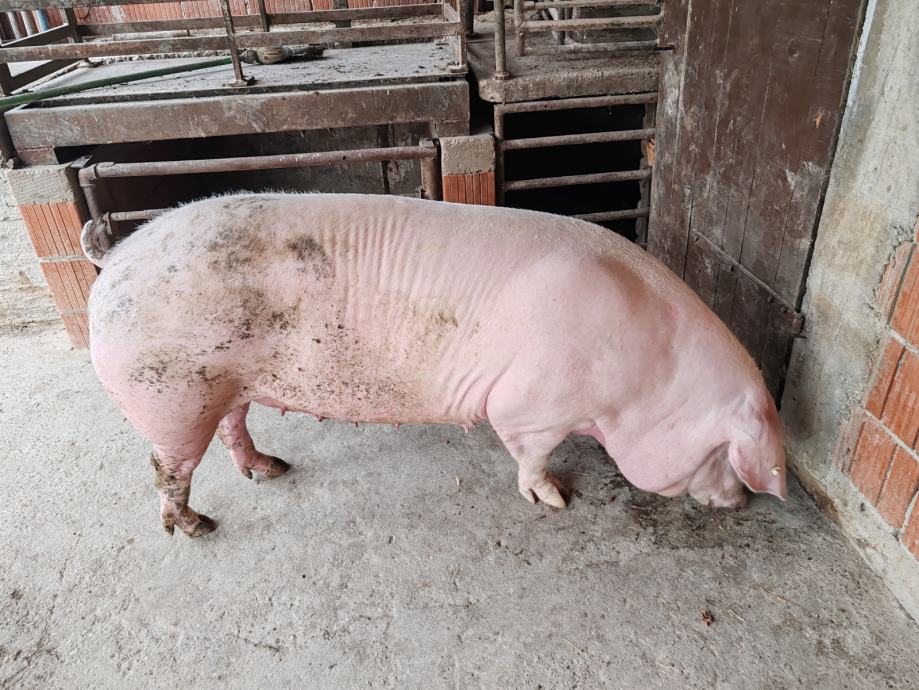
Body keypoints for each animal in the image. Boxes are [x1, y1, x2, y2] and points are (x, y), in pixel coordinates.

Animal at [82, 193, 787, 538]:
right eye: (724, 456)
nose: (741, 505)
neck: (646, 379)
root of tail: (113, 258)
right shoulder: (528, 405)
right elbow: (531, 456)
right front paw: (555, 502)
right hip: (168, 393)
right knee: (166, 470)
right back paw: (197, 527)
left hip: (220, 385)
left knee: (234, 428)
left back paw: (272, 469)